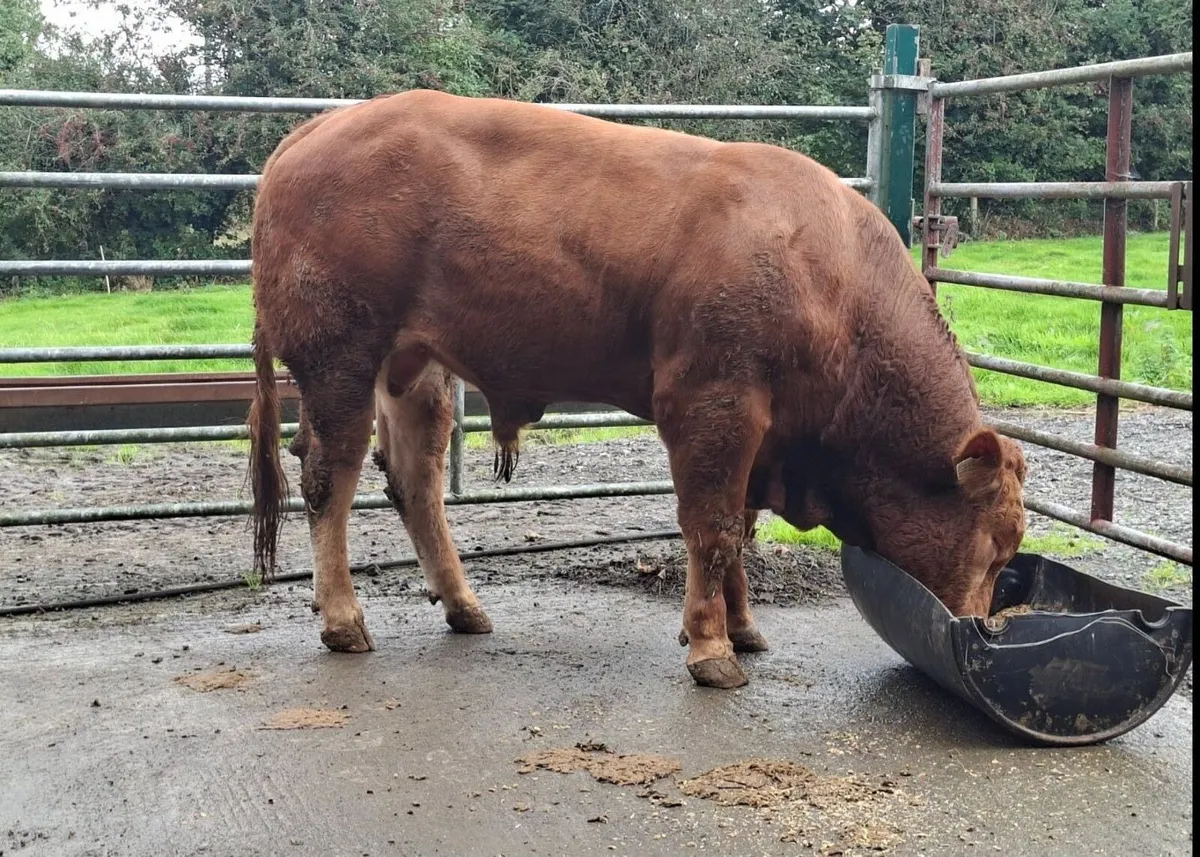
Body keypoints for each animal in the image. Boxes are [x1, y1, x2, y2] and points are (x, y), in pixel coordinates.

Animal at [247, 90, 1027, 690]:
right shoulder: (713, 402)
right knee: (328, 477)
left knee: (415, 481)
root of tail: (316, 130)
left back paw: (464, 606)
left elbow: (739, 529)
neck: (830, 281)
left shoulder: (761, 431)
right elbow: (713, 527)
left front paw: (744, 628)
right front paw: (712, 649)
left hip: (413, 368)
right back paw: (344, 618)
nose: (982, 629)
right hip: (340, 356)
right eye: (996, 545)